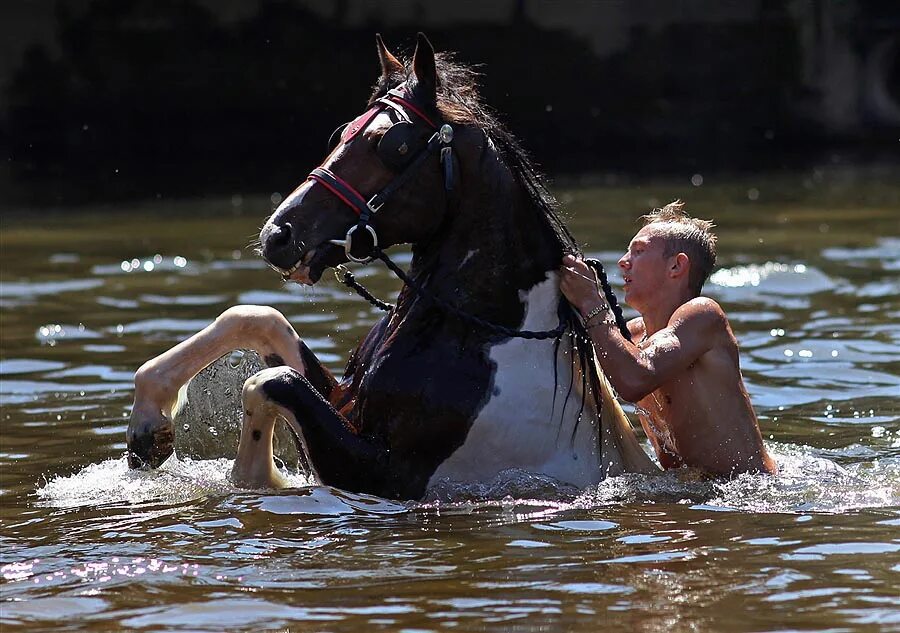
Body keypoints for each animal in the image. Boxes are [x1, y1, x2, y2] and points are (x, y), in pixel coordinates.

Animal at [126, 33, 656, 498]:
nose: (279, 235)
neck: (486, 337)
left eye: (394, 145)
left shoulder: (389, 473)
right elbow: (255, 319)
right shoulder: (346, 404)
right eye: (343, 132)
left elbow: (268, 383)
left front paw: (258, 480)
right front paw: (148, 432)